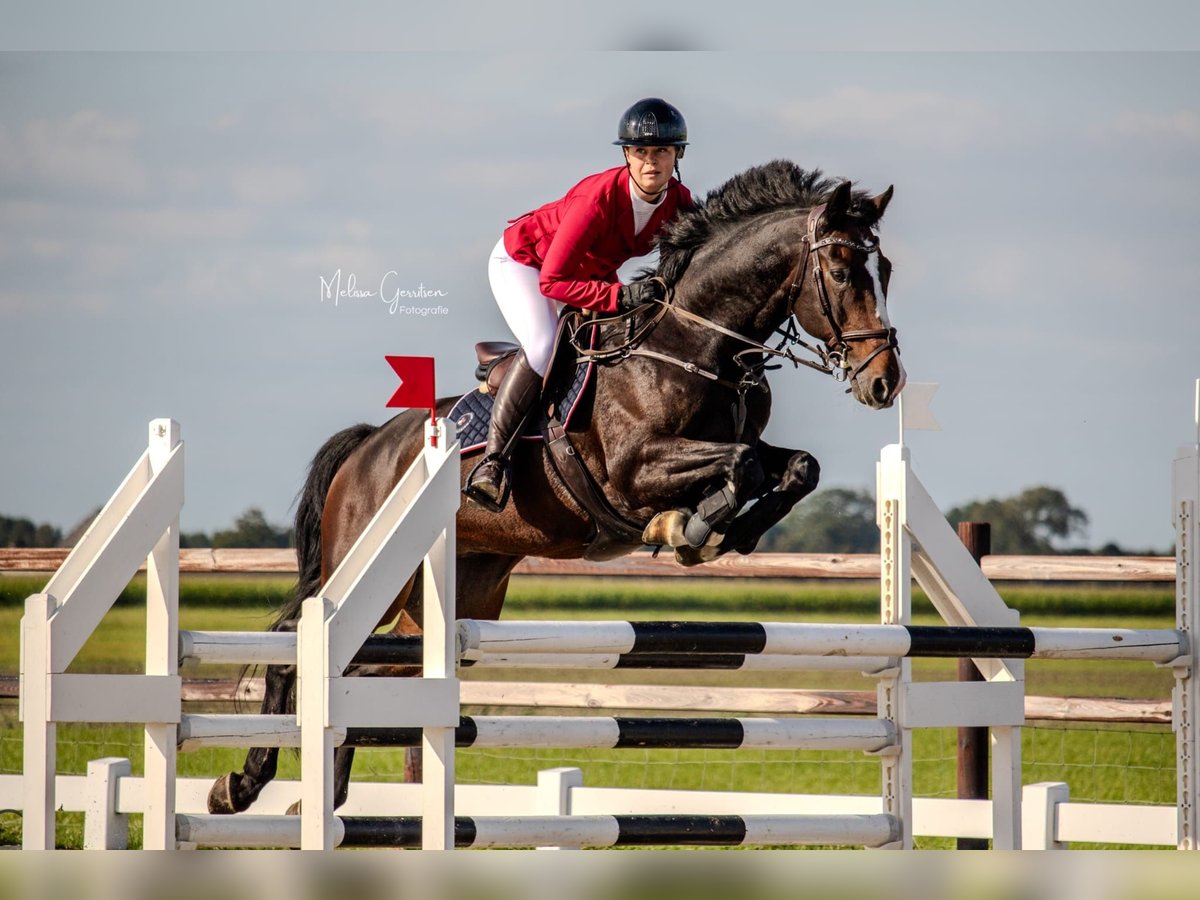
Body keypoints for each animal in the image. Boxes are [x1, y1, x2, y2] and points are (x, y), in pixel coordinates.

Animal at [206, 160, 902, 816]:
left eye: (885, 270)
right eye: (841, 272)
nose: (885, 383)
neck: (697, 344)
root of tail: (369, 444)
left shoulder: (736, 447)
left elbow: (796, 466)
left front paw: (732, 531)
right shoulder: (634, 471)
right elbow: (744, 467)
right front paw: (690, 528)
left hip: (448, 596)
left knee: (363, 671)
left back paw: (320, 796)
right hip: (362, 566)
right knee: (298, 648)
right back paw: (242, 786)